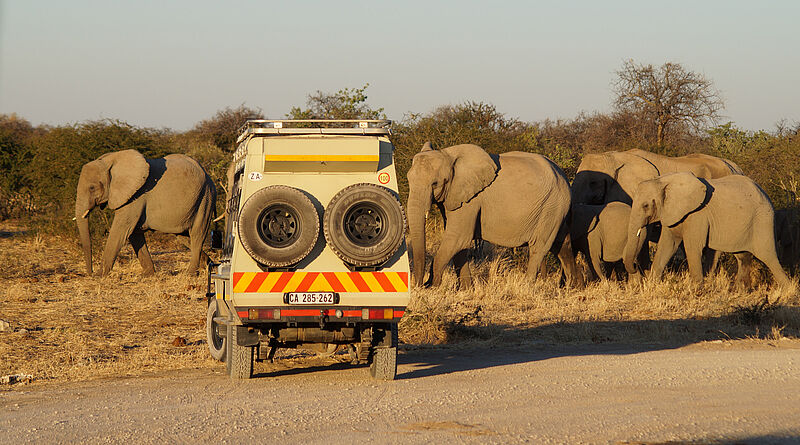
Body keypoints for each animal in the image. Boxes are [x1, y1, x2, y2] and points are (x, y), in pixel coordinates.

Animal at [75, 149, 217, 274]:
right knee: (185, 237)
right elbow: (134, 234)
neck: (111, 161)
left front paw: (99, 275)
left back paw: (191, 273)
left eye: (92, 188)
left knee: (197, 235)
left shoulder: (136, 196)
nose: (90, 273)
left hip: (205, 198)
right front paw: (148, 274)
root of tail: (209, 177)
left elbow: (120, 231)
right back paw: (209, 265)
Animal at [410, 142, 580, 288]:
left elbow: (457, 237)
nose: (420, 284)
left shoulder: (471, 199)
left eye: (435, 184)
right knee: (562, 245)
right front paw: (466, 290)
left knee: (539, 247)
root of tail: (564, 177)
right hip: (556, 209)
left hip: (551, 207)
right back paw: (572, 287)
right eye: (408, 180)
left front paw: (433, 286)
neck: (447, 155)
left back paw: (527, 286)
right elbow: (459, 244)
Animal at [620, 172, 788, 286]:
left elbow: (692, 247)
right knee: (742, 256)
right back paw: (741, 290)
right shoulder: (671, 213)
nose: (635, 267)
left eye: (646, 206)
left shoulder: (697, 215)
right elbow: (667, 245)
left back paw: (787, 291)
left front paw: (696, 289)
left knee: (768, 256)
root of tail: (766, 194)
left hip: (763, 220)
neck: (664, 181)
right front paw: (653, 284)